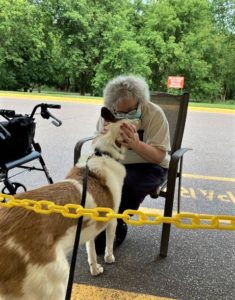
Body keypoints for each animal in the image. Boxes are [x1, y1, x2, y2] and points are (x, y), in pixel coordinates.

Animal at [0, 108, 139, 300]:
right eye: (131, 125)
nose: (139, 121)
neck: (104, 153)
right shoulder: (112, 219)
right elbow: (110, 243)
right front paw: (109, 258)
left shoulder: (89, 231)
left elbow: (92, 252)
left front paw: (95, 269)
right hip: (56, 281)